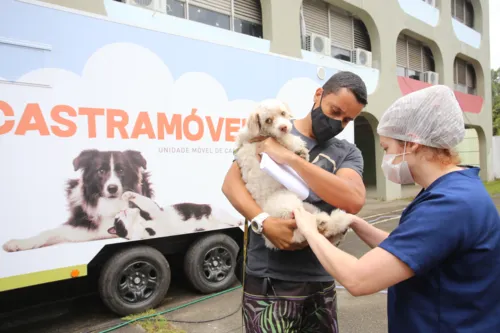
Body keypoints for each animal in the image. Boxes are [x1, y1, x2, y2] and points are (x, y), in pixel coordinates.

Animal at [233, 98, 348, 249]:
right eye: (268, 120)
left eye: (283, 113)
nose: (284, 127)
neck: (260, 133)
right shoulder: (269, 139)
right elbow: (288, 140)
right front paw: (299, 148)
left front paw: (302, 153)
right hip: (287, 204)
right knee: (305, 228)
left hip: (305, 206)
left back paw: (325, 220)